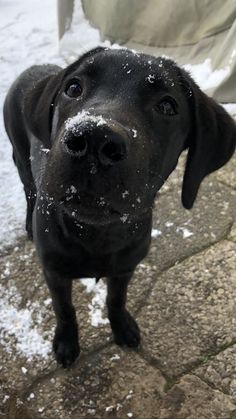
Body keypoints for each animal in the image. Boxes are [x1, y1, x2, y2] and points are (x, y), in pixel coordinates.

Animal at [3, 46, 236, 368]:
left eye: (167, 106)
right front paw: (66, 342)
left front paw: (122, 326)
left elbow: (116, 298)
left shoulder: (125, 268)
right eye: (73, 88)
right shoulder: (54, 272)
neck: (98, 234)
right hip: (21, 155)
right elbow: (64, 309)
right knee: (29, 191)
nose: (93, 138)